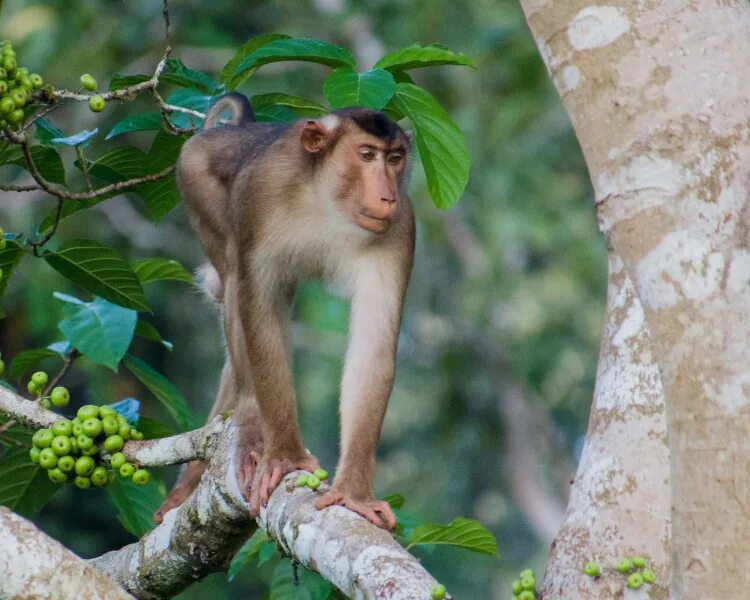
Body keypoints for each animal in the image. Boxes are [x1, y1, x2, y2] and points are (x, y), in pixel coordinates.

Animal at [156, 90, 418, 528]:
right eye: (367, 155)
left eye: (395, 158)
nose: (387, 195)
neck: (328, 202)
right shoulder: (261, 196)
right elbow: (259, 310)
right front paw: (284, 455)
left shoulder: (401, 228)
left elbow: (373, 346)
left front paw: (355, 492)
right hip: (194, 176)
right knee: (235, 278)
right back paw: (247, 421)